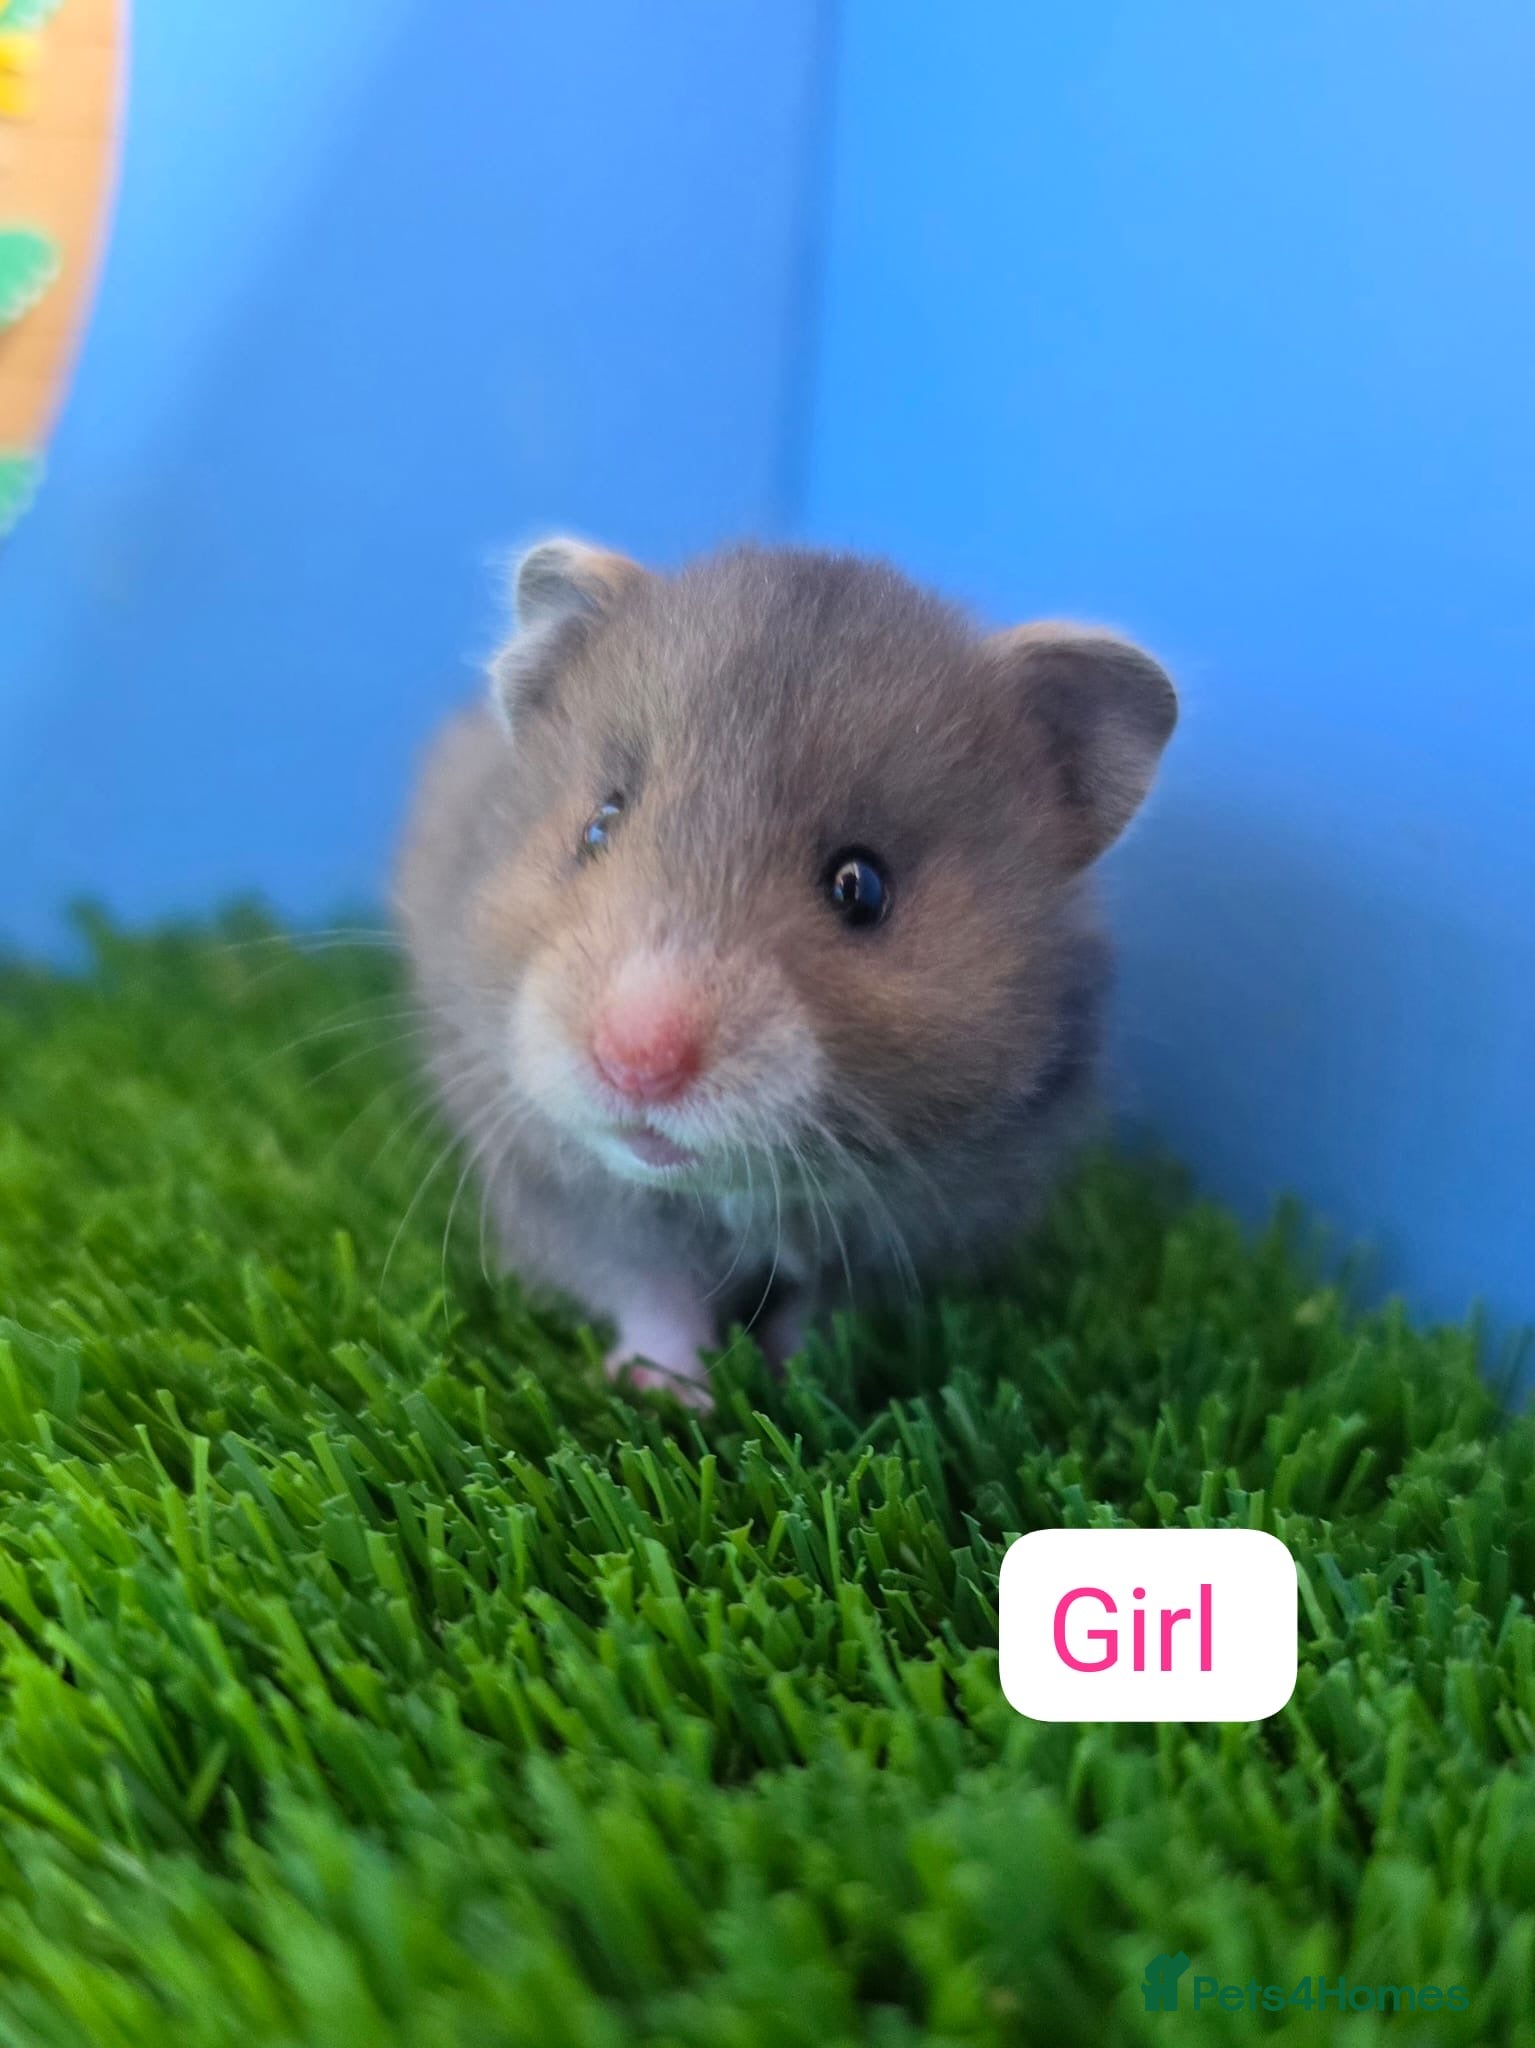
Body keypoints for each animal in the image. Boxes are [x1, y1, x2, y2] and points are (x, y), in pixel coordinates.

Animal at [396, 539, 1176, 1407]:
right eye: (599, 825)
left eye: (860, 887)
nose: (637, 1062)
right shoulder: (577, 1198)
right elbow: (653, 1294)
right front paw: (668, 1395)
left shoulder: (913, 1226)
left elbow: (821, 1313)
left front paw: (799, 1388)